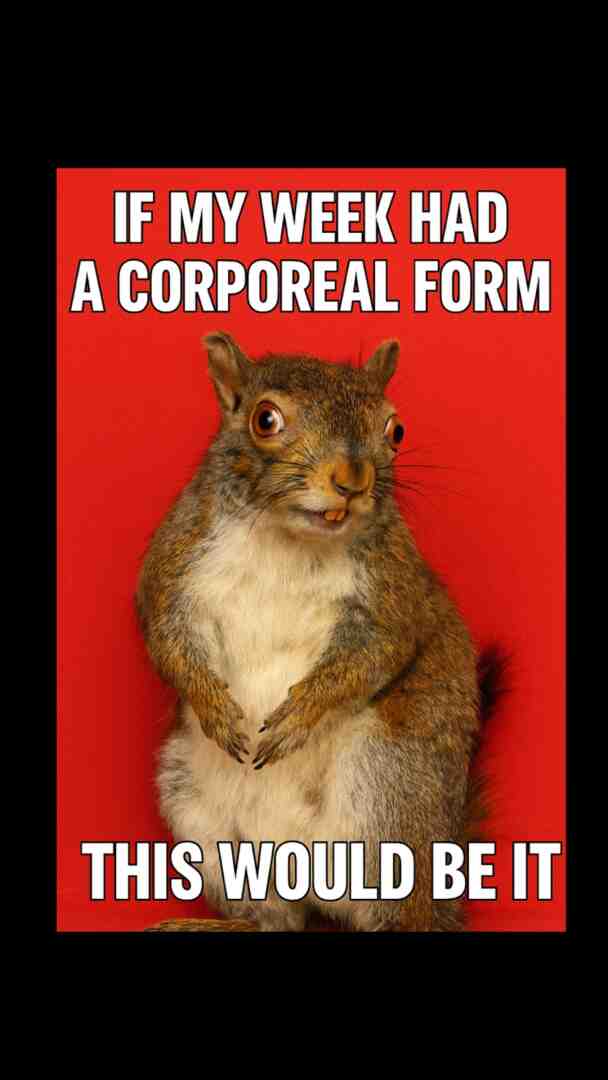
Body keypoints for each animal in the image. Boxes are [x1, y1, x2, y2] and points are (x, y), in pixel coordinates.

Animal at [137, 331, 502, 932]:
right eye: (265, 419)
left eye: (395, 430)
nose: (352, 481)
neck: (288, 538)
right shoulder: (174, 562)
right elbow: (165, 638)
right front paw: (215, 708)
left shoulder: (393, 590)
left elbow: (375, 653)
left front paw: (299, 717)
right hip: (198, 813)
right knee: (277, 921)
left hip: (390, 790)